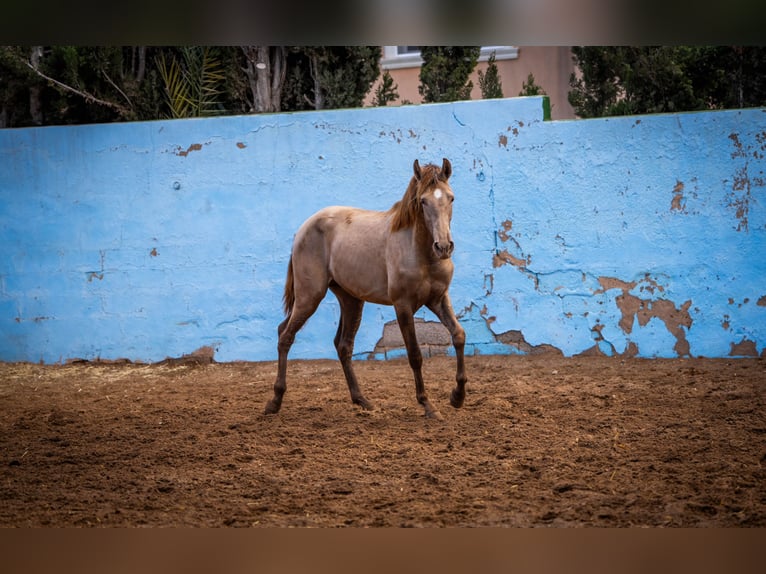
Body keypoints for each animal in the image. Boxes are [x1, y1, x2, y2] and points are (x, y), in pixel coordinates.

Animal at [264, 160, 468, 420]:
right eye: (423, 201)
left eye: (451, 198)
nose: (443, 247)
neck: (420, 251)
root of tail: (303, 229)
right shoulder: (403, 306)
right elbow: (414, 355)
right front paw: (428, 405)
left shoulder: (438, 299)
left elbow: (459, 335)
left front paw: (457, 396)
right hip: (309, 296)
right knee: (286, 336)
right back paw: (275, 401)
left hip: (350, 299)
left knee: (342, 345)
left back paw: (362, 400)